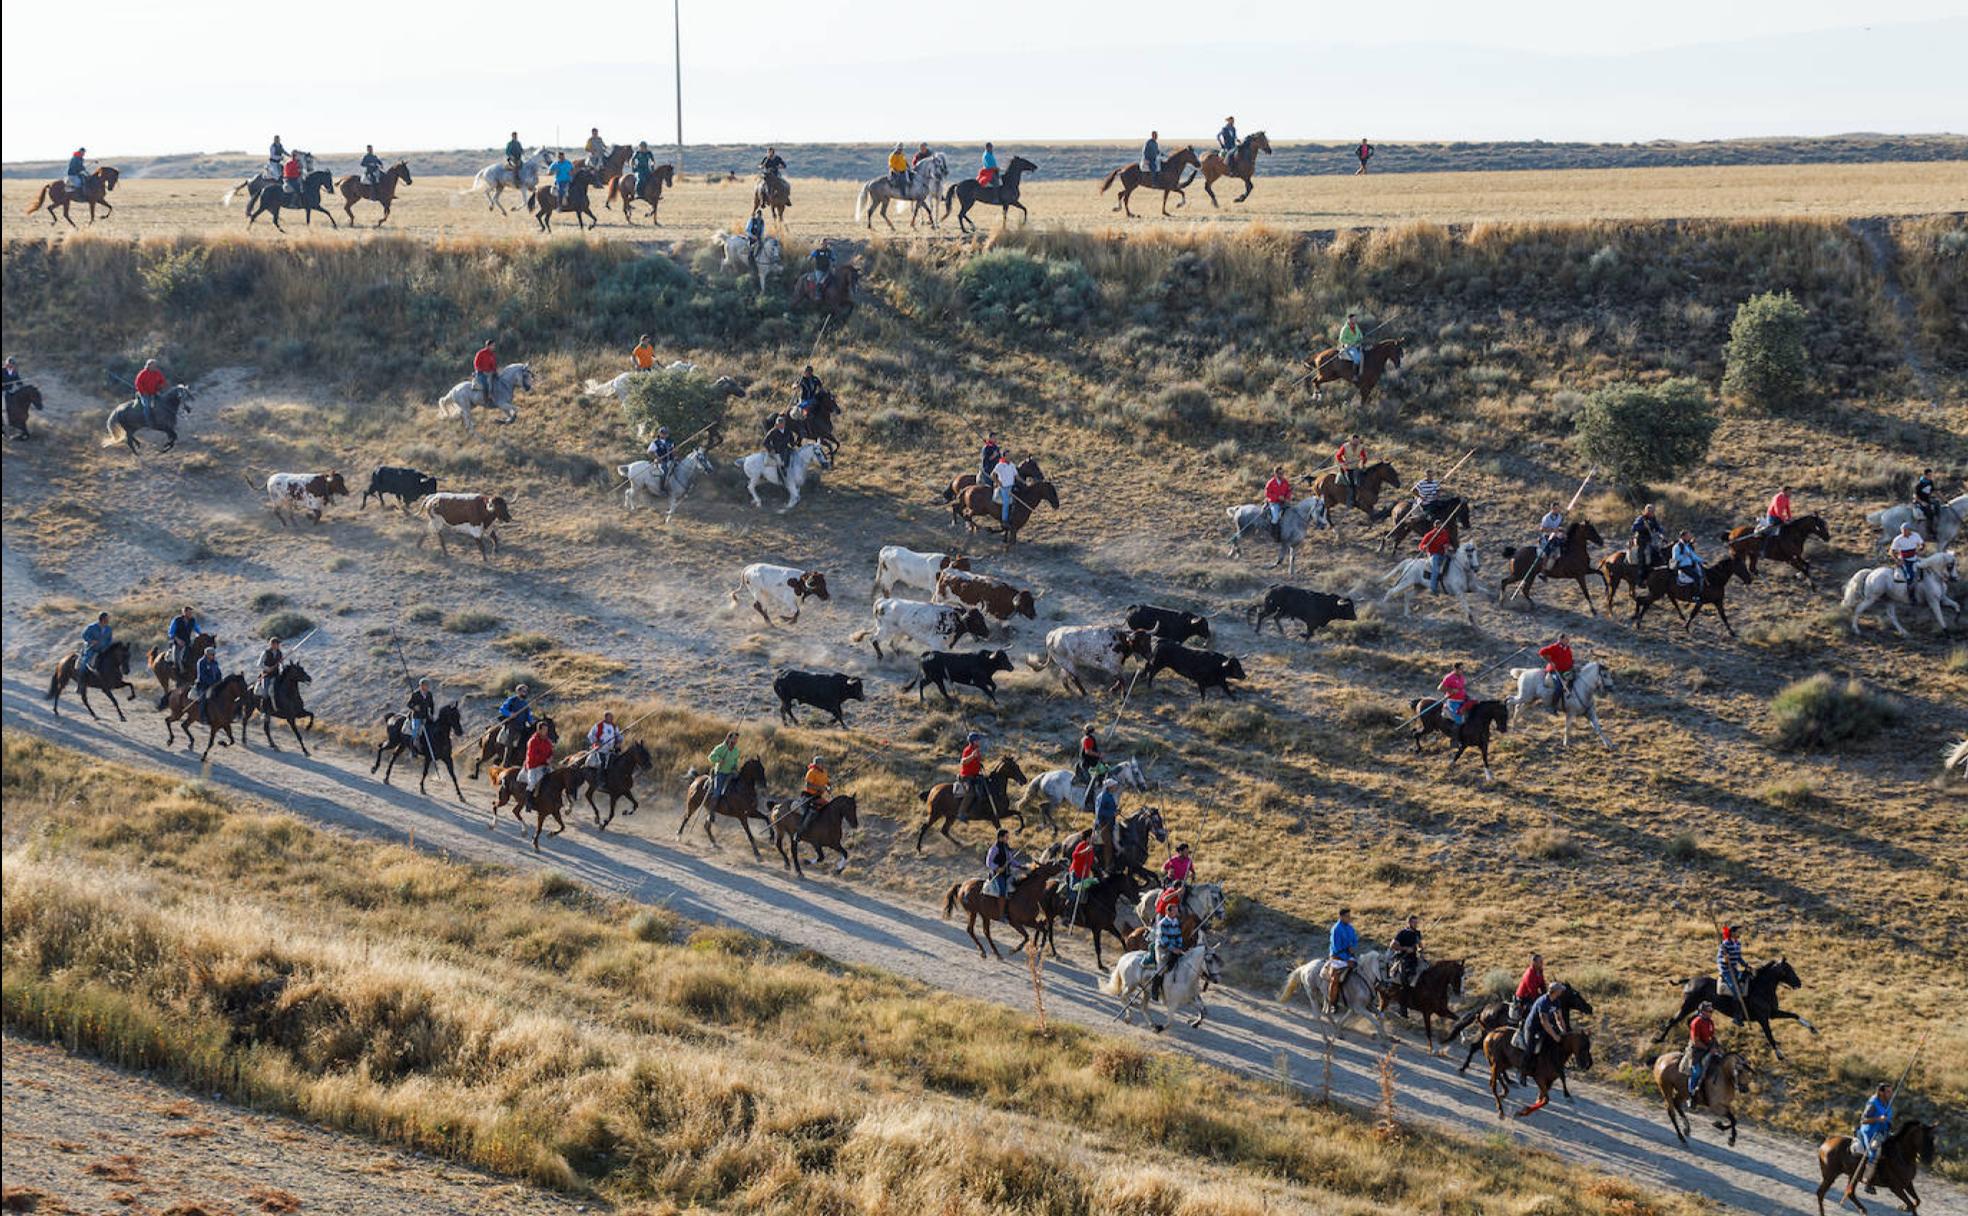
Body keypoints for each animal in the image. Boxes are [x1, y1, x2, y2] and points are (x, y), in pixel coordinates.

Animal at [850, 594, 991, 653]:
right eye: (976, 621)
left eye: (983, 618)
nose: (987, 633)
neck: (953, 619)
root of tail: (881, 602)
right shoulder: (936, 645)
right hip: (884, 630)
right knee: (874, 640)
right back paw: (881, 659)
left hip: (900, 632)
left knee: (892, 644)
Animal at [1645, 956, 1810, 1054]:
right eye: (1788, 970)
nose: (1799, 983)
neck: (1761, 988)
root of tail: (1689, 980)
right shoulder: (1764, 1018)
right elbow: (1770, 1035)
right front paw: (1779, 1054)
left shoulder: (1773, 1014)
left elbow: (1794, 1015)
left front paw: (1811, 1028)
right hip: (1687, 1005)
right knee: (1673, 1021)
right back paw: (1658, 1040)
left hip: (1698, 1008)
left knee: (1689, 1021)